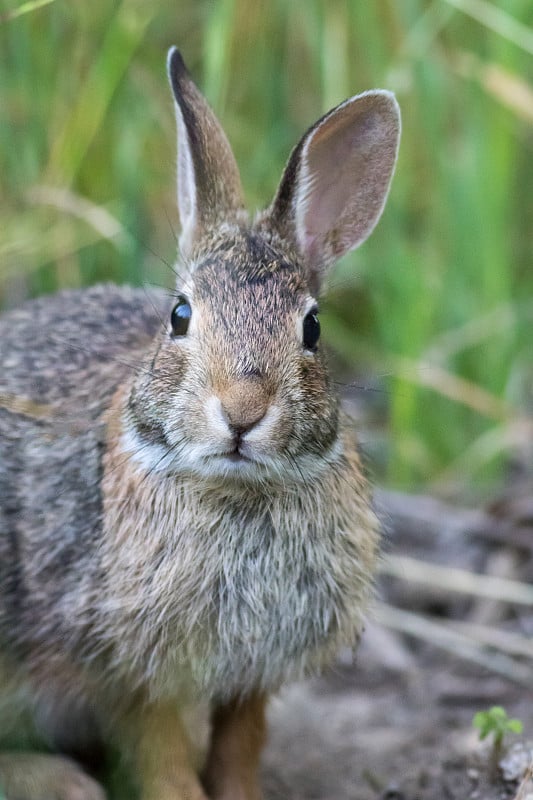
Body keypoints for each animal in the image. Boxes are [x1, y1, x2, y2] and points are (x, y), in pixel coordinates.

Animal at [0, 48, 400, 800]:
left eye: (312, 328)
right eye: (180, 315)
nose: (242, 412)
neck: (237, 492)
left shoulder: (254, 672)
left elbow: (241, 742)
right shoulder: (131, 666)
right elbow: (160, 755)